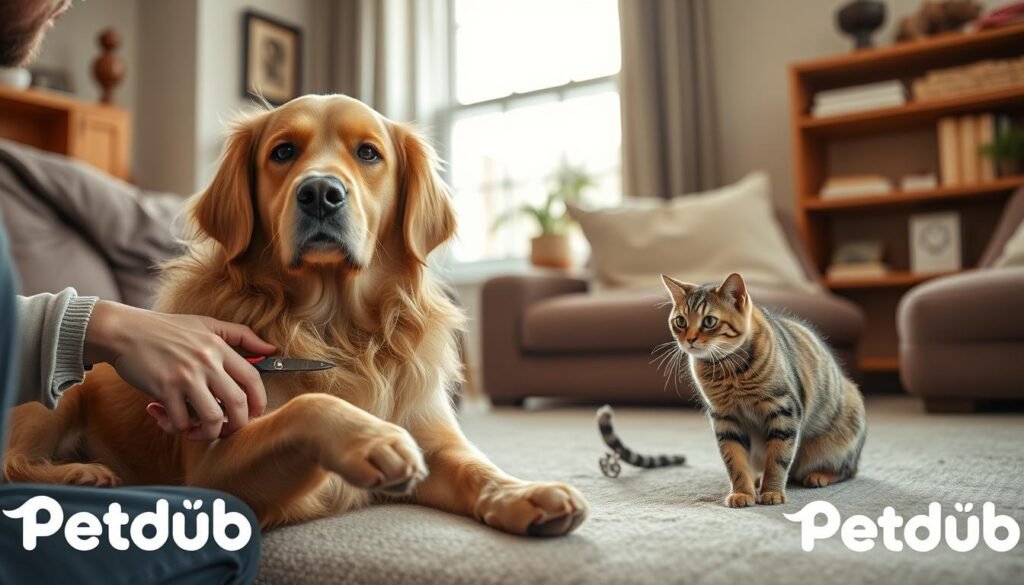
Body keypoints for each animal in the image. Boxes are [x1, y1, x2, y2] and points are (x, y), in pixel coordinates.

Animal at [659, 272, 868, 506]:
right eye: (680, 321)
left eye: (709, 321)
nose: (689, 340)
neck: (728, 371)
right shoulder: (725, 419)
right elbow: (735, 461)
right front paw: (743, 492)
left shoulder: (784, 411)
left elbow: (778, 459)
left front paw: (772, 491)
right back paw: (757, 479)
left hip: (840, 436)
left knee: (847, 470)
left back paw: (818, 475)